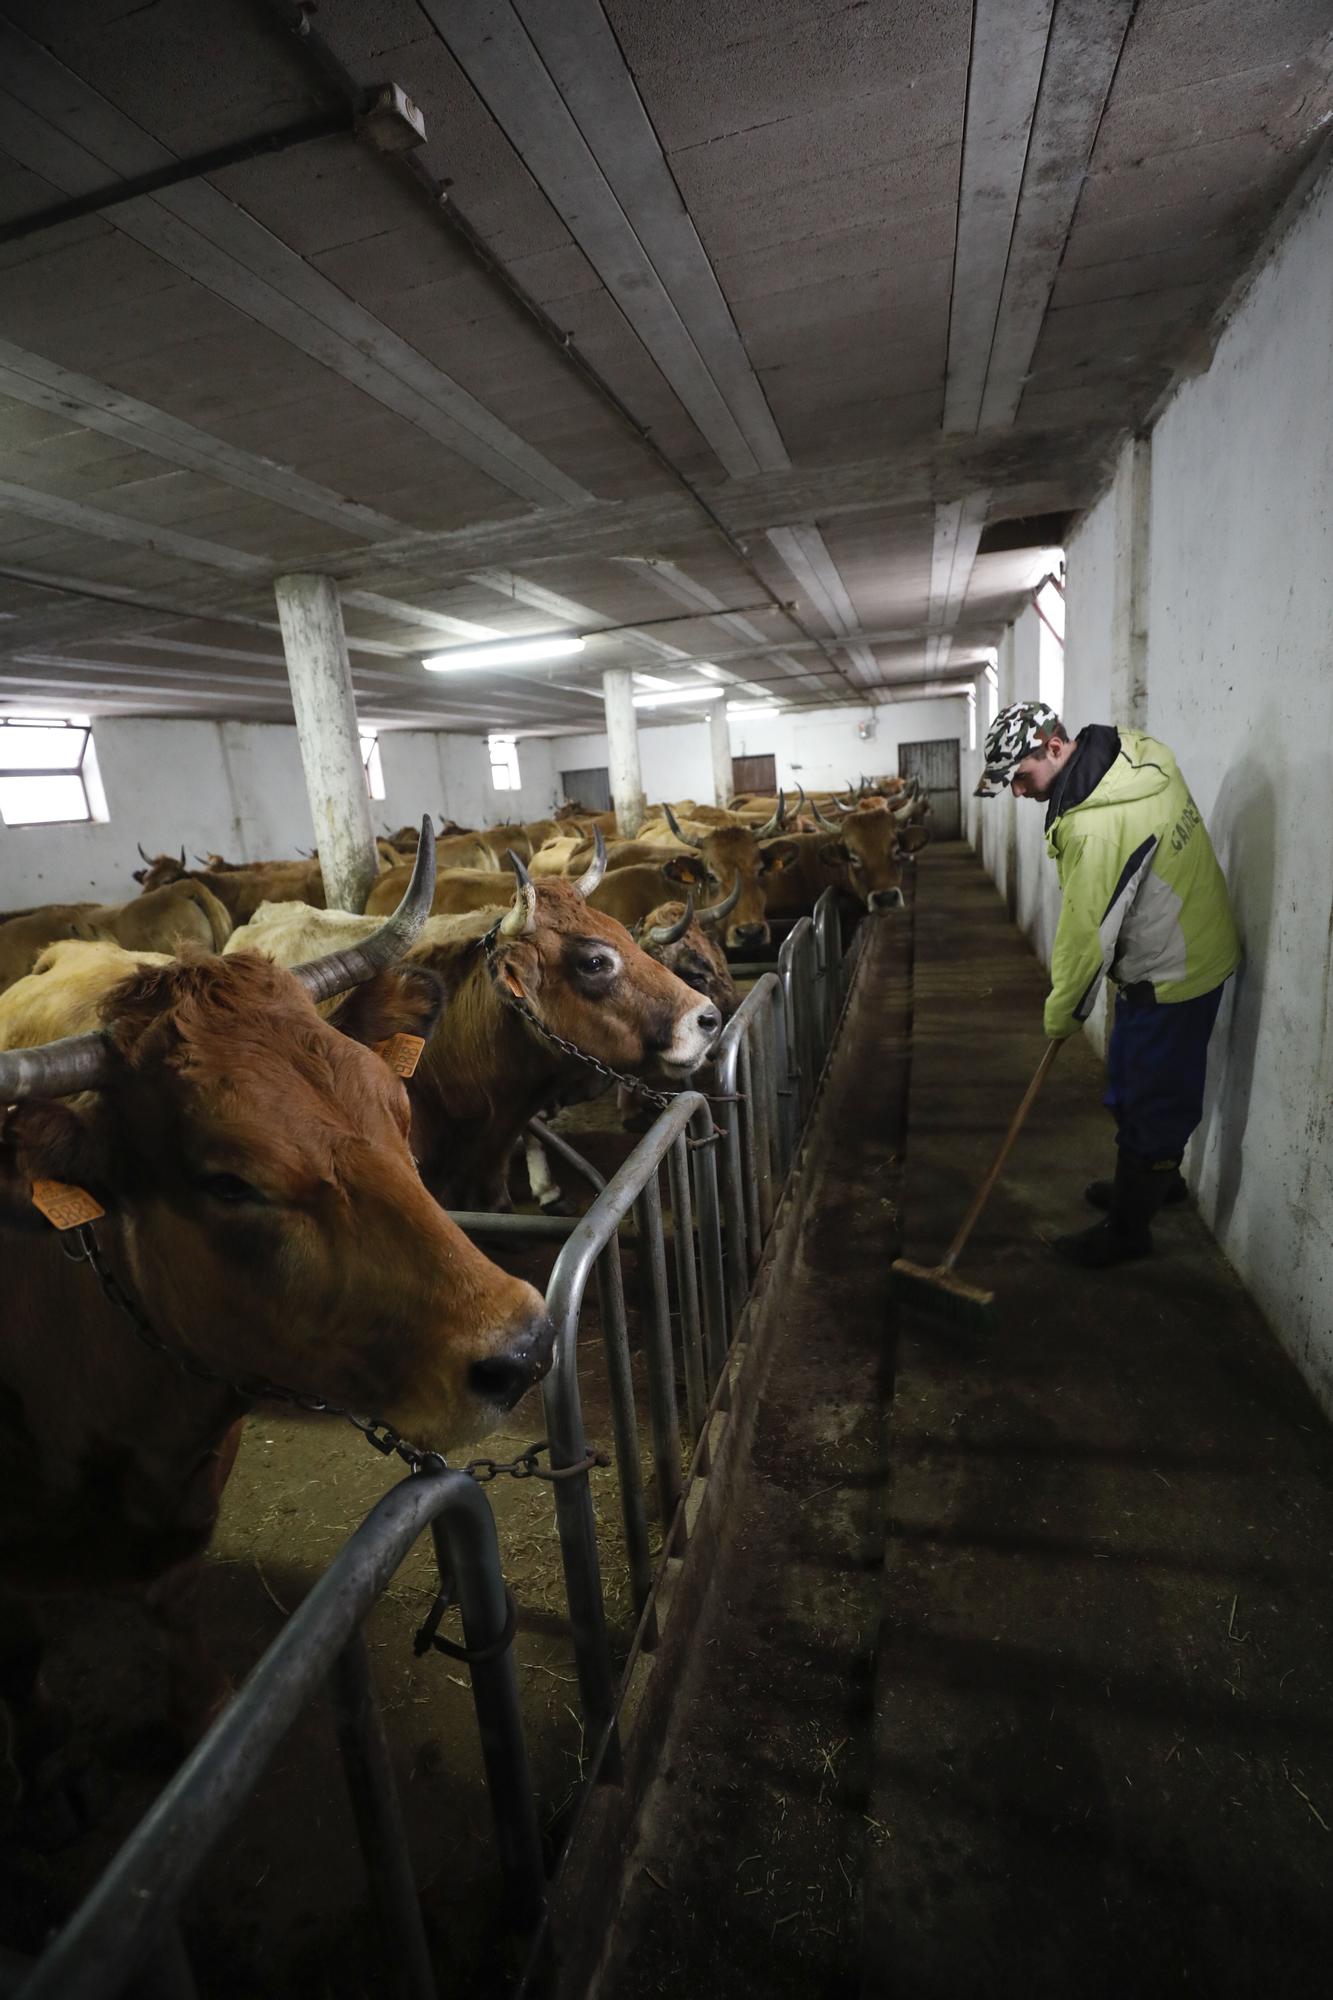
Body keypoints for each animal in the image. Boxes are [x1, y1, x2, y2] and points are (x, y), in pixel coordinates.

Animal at [0, 836, 548, 1760]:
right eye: (228, 1183)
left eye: (397, 1108)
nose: (523, 1347)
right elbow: (25, 1653)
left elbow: (175, 1593)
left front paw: (197, 1704)